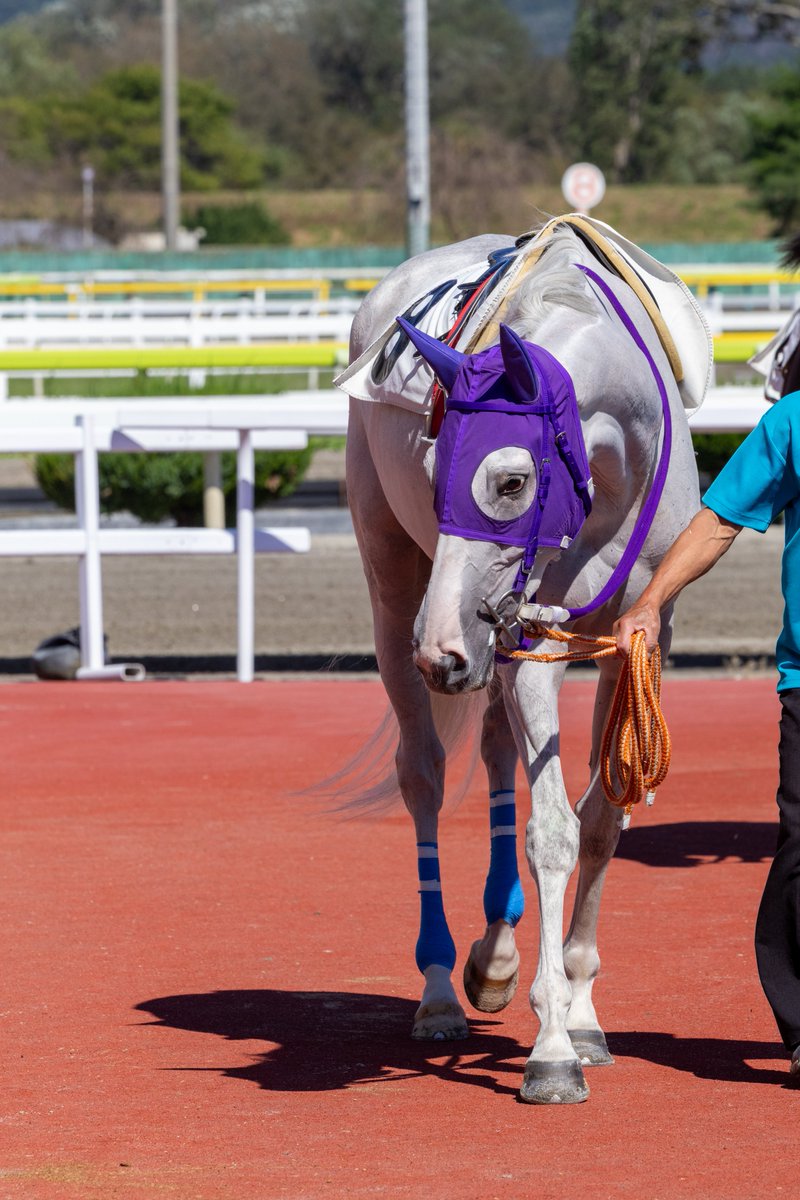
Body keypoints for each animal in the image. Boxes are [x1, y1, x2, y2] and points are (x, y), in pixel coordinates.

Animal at [336, 218, 711, 1105]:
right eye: (435, 469)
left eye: (510, 480)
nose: (440, 645)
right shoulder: (529, 643)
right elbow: (553, 832)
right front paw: (551, 1049)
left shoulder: (633, 641)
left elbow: (603, 819)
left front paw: (578, 1007)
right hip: (397, 588)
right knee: (425, 774)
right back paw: (443, 987)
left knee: (498, 749)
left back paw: (499, 955)